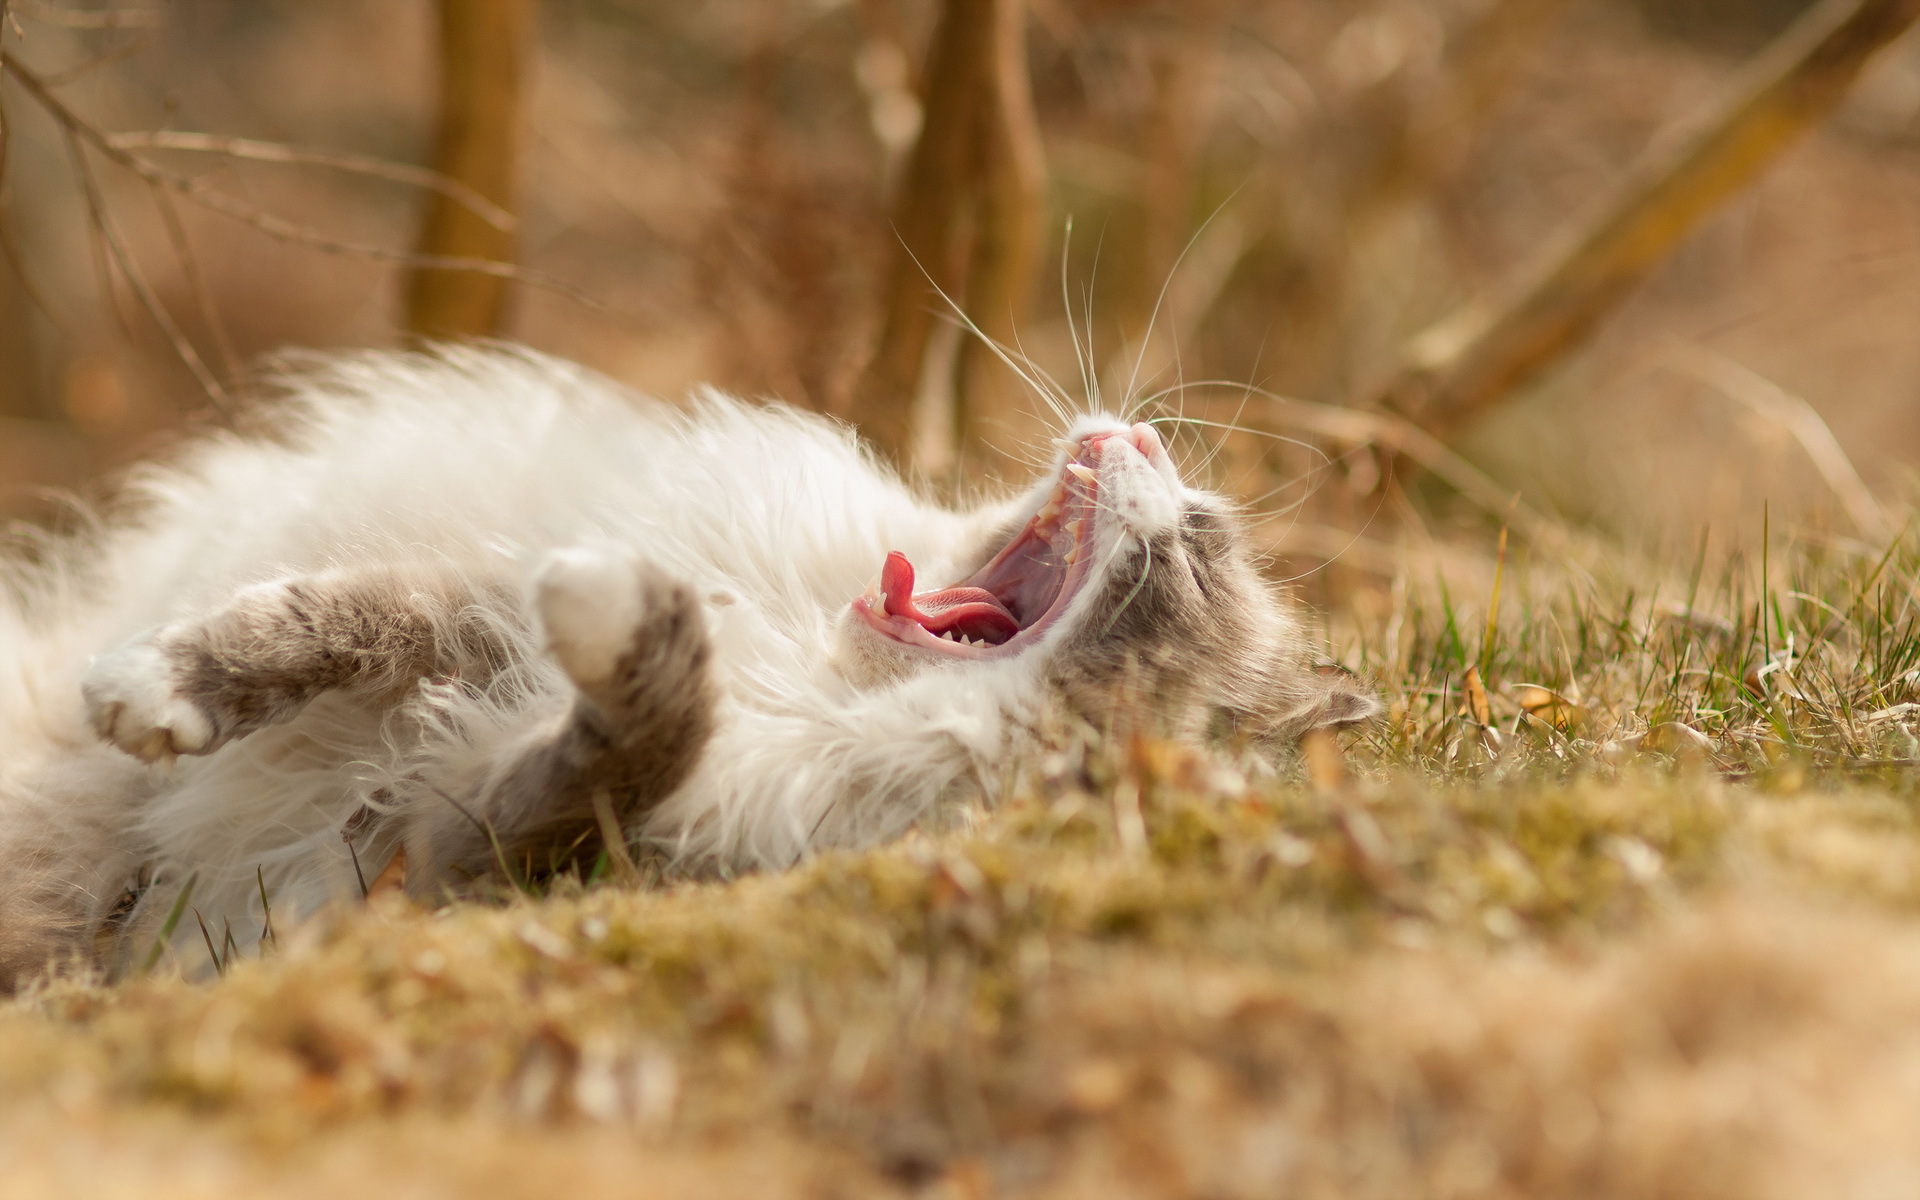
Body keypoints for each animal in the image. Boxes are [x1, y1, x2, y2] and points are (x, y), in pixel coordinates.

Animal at [0, 343, 1382, 983]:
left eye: (1198, 546)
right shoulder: (473, 619)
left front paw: (644, 635)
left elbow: (651, 726)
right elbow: (316, 624)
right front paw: (154, 695)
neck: (803, 673)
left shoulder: (482, 853)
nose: (1137, 435)